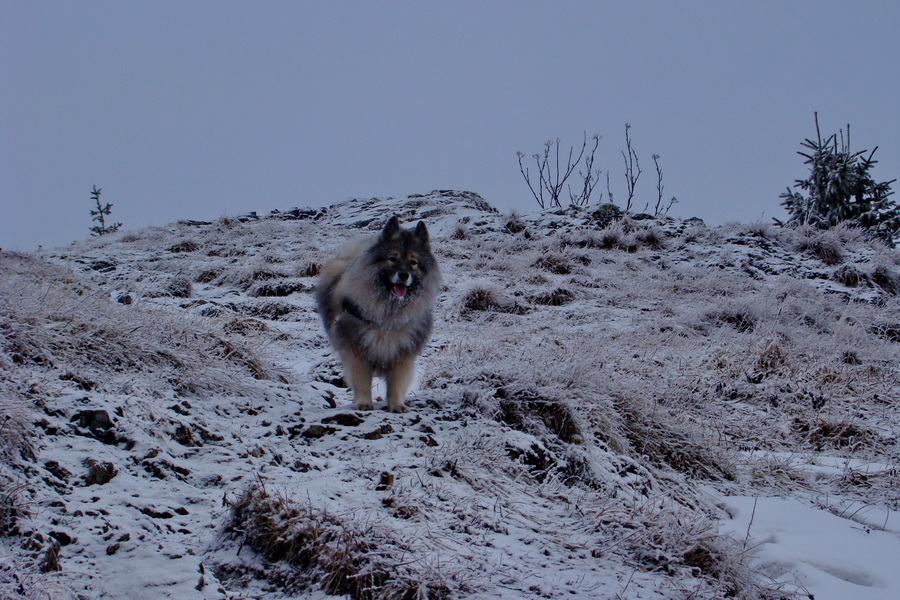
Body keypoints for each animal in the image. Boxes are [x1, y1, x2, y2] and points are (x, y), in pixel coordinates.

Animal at [316, 216, 440, 412]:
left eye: (413, 262)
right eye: (392, 258)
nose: (403, 275)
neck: (388, 313)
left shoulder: (402, 352)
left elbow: (396, 384)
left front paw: (396, 405)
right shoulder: (357, 351)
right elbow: (362, 382)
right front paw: (364, 402)